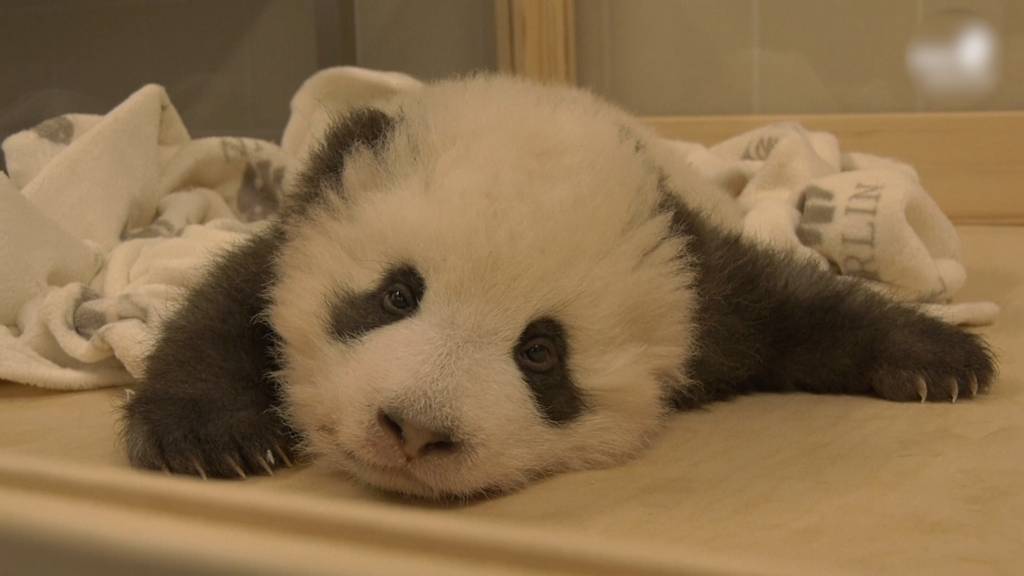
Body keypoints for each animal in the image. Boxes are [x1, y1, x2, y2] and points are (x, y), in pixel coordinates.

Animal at [119, 75, 991, 498]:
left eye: (540, 353)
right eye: (397, 295)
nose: (414, 430)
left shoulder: (699, 291)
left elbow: (797, 307)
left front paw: (941, 359)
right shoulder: (299, 227)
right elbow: (230, 302)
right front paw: (212, 437)